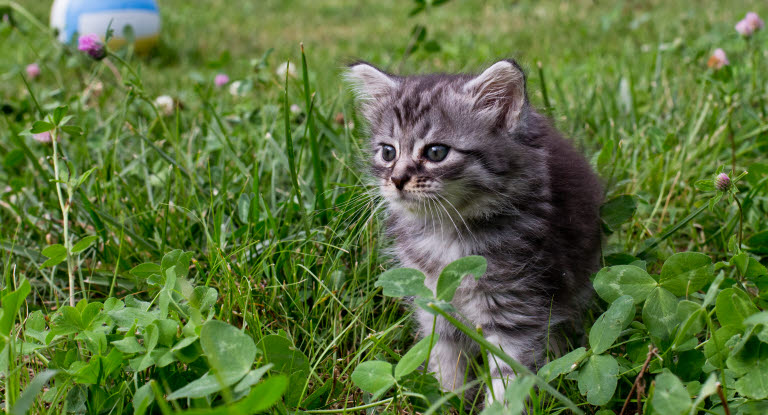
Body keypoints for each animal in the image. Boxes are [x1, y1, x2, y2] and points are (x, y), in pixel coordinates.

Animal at [344, 59, 604, 404]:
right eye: (388, 152)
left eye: (436, 152)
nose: (397, 179)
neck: (445, 234)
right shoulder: (433, 303)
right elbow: (444, 357)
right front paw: (448, 398)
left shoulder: (514, 304)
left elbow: (509, 376)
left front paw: (499, 406)